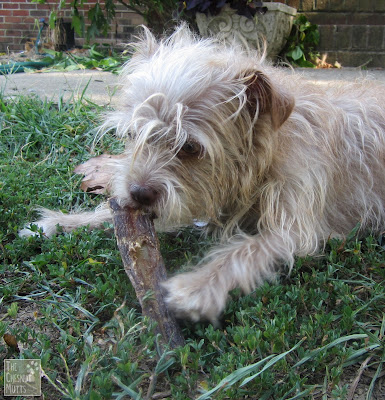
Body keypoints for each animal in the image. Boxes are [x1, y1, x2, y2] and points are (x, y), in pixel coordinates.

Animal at [20, 25, 384, 324]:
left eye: (190, 147)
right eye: (133, 134)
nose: (138, 193)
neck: (265, 155)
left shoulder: (295, 228)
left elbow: (242, 251)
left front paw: (196, 287)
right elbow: (109, 215)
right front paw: (61, 223)